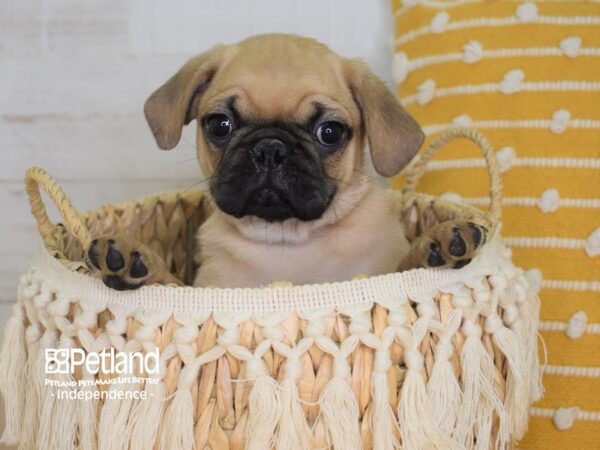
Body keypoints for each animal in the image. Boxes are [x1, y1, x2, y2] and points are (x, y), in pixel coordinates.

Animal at [85, 33, 488, 290]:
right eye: (220, 125)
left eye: (330, 132)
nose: (270, 148)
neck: (288, 239)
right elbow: (167, 281)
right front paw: (133, 257)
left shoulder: (383, 270)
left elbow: (407, 265)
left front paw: (436, 243)